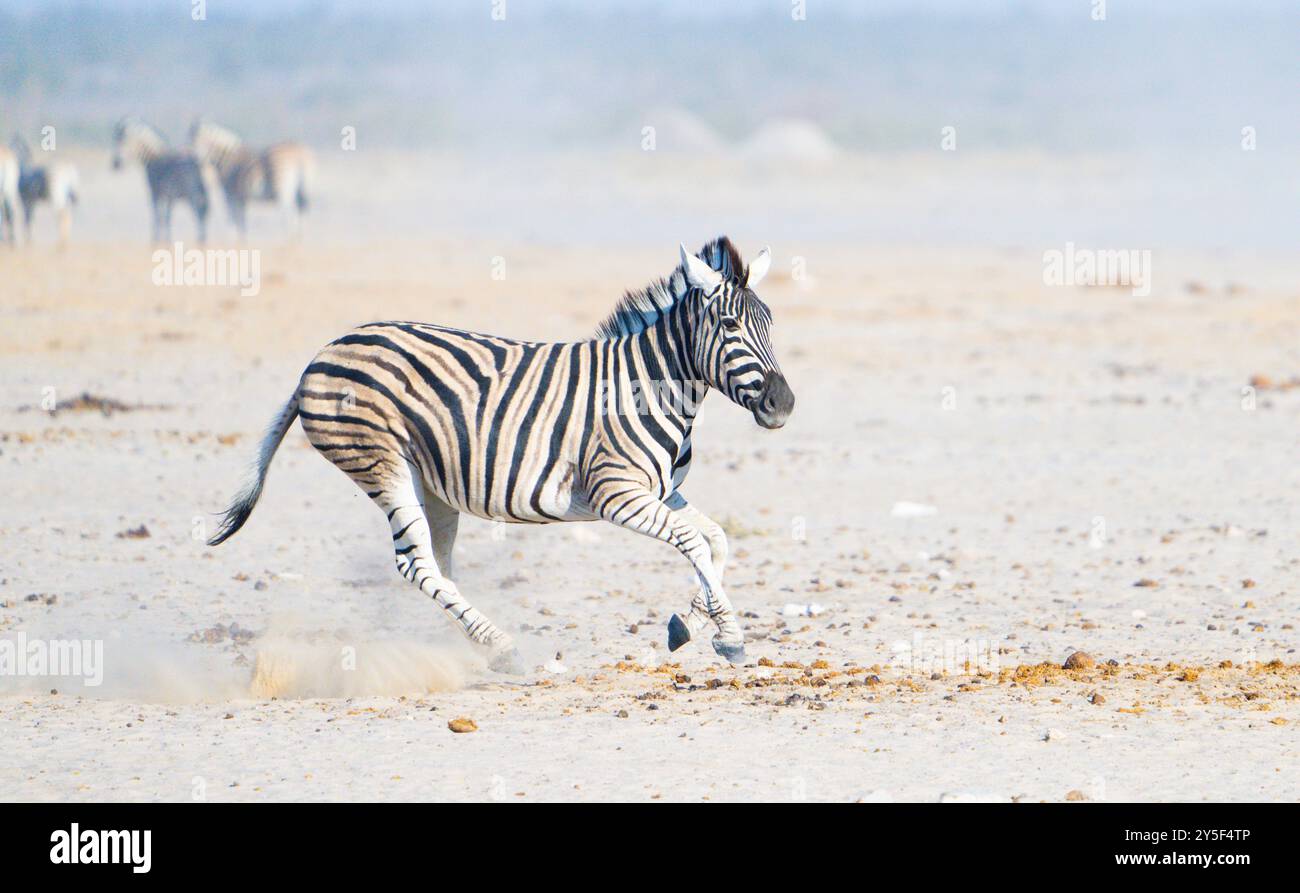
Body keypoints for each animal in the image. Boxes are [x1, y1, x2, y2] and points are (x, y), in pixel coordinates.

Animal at [208, 237, 795, 673]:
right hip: (382, 464)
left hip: (429, 481)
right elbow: (696, 542)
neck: (651, 386)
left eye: (771, 325)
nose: (783, 404)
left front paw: (688, 625)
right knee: (415, 563)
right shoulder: (617, 494)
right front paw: (730, 636)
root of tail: (322, 354)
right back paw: (502, 647)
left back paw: (473, 645)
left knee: (437, 565)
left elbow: (716, 541)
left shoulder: (663, 492)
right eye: (730, 326)